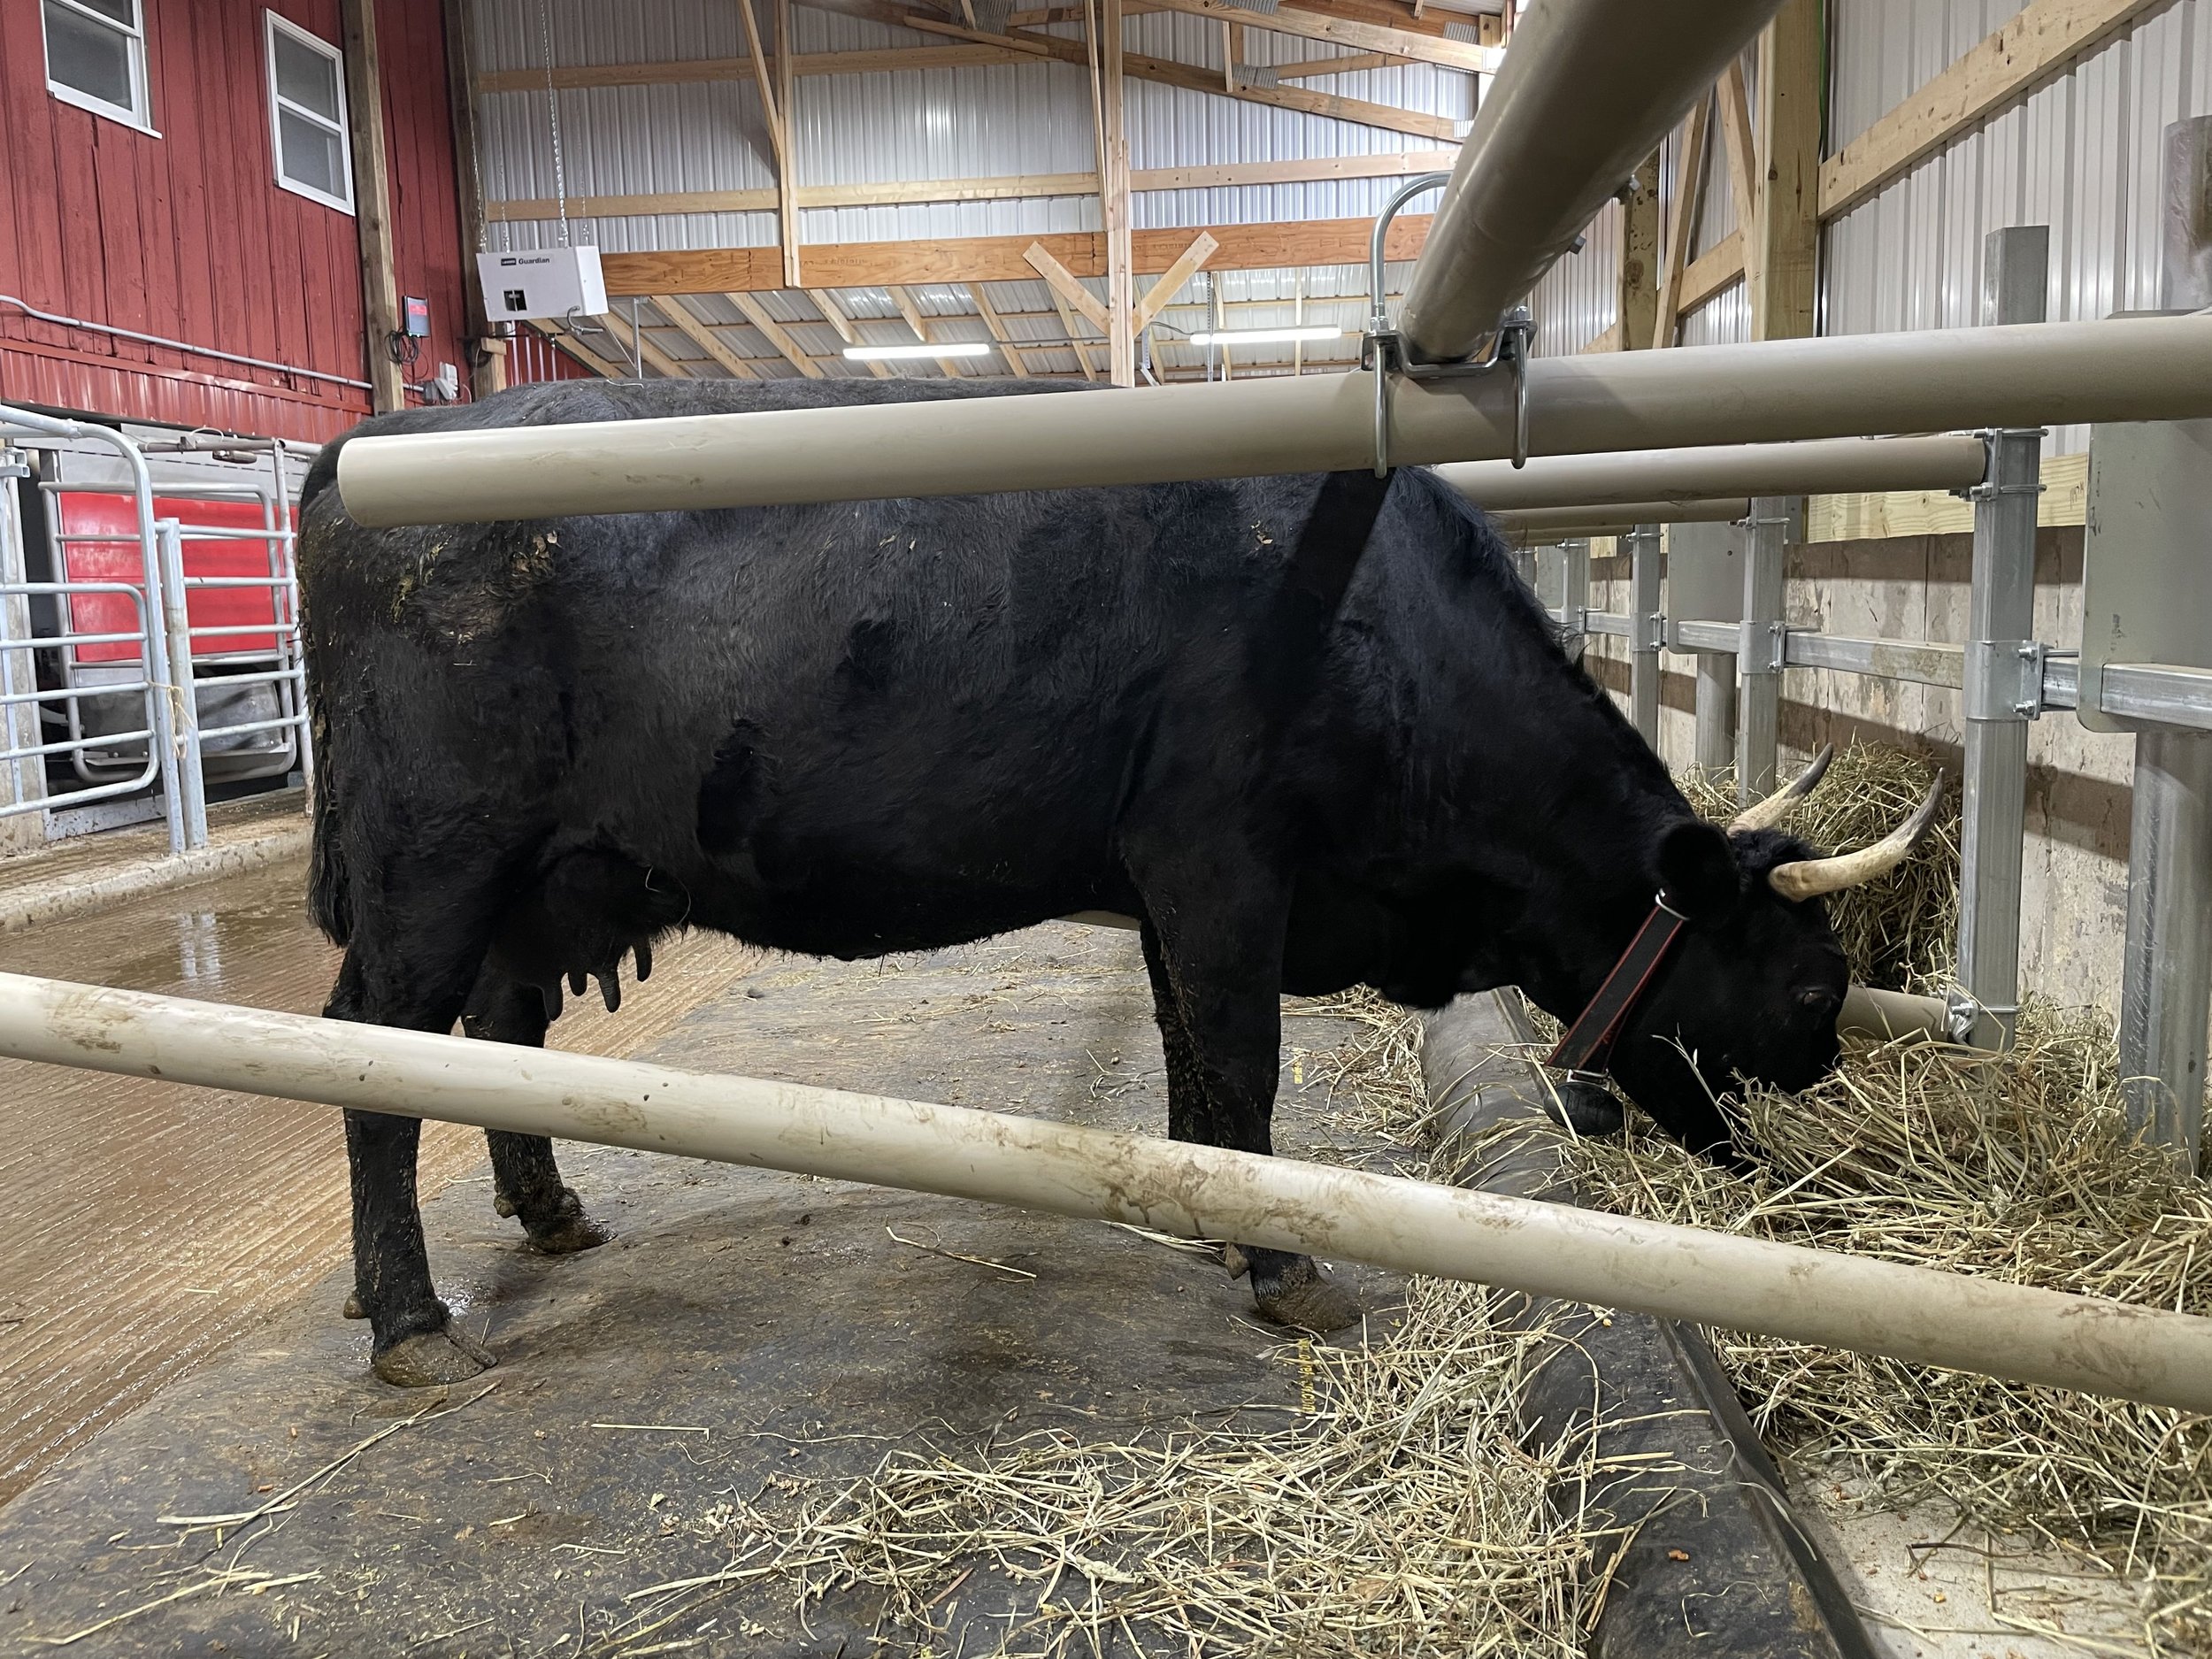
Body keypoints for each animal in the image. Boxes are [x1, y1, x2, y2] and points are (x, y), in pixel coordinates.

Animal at [300, 376, 1905, 1388]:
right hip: (431, 860)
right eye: (1811, 984)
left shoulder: (1164, 878)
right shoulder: (1220, 854)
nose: (1821, 1117)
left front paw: (1207, 1216)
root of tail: (380, 434)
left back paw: (546, 1213)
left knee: (500, 1032)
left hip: (531, 880)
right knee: (372, 1058)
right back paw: (410, 1317)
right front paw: (1283, 1263)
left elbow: (1190, 1050)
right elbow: (1243, 1056)